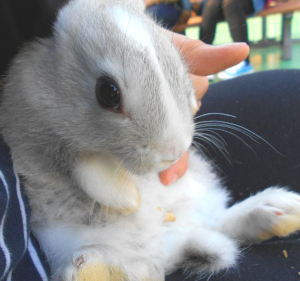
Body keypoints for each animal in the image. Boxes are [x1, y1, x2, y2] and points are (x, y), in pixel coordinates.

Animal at [0, 0, 300, 278]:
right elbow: (82, 167)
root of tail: (173, 245)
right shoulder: (32, 132)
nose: (174, 152)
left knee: (219, 222)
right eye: (108, 92)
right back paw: (97, 268)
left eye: (176, 60)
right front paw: (129, 199)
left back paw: (279, 211)